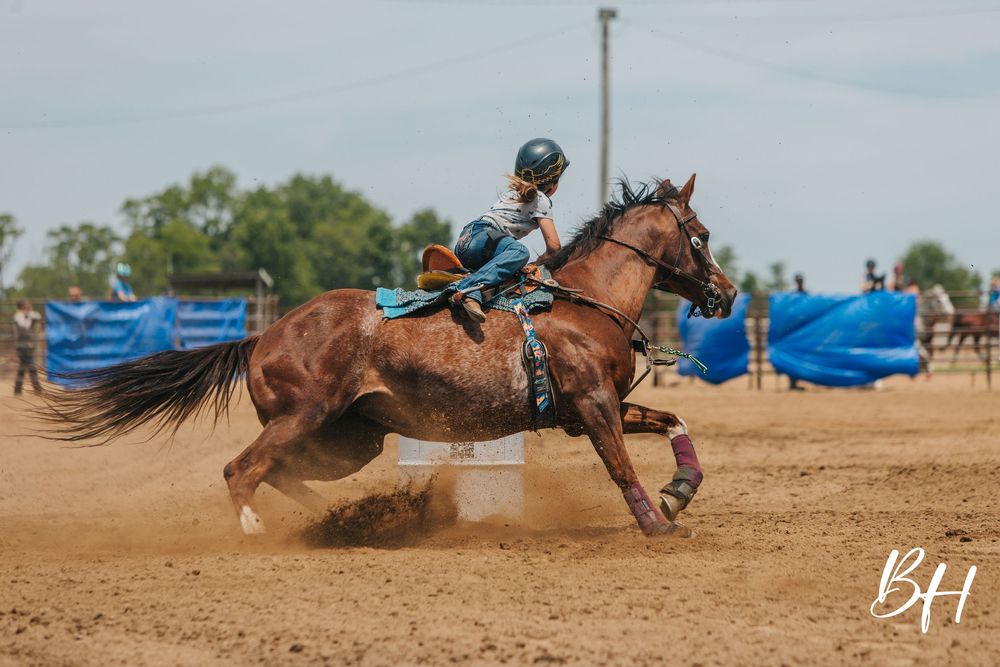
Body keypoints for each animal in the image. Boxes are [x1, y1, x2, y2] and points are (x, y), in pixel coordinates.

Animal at [37, 174, 737, 538]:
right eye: (701, 236)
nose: (727, 294)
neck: (586, 302)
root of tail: (262, 336)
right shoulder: (592, 407)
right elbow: (620, 466)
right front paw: (657, 523)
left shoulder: (601, 406)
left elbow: (674, 422)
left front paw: (678, 493)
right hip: (305, 417)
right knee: (243, 469)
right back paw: (260, 532)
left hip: (350, 439)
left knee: (280, 473)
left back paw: (350, 520)